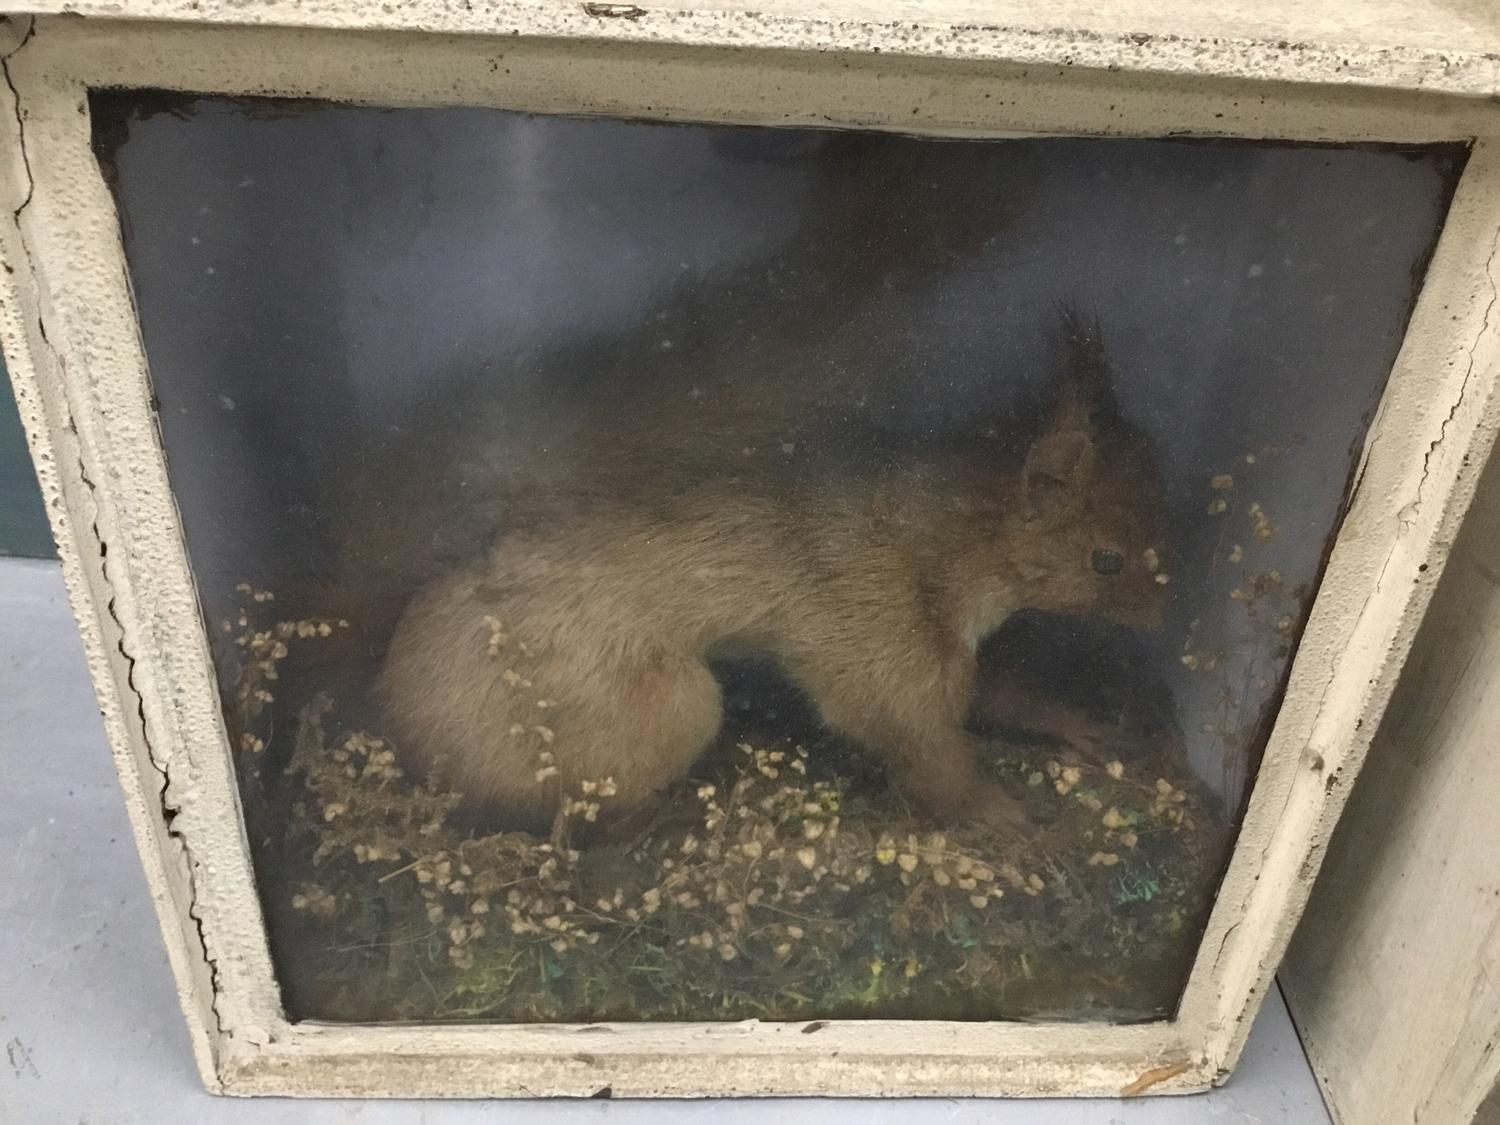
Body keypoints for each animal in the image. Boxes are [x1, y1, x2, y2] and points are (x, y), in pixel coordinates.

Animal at [378, 318, 1170, 840]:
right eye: (1107, 559)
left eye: (1159, 508)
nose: (1166, 609)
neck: (947, 542)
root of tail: (402, 735)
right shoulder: (884, 652)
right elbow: (928, 751)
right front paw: (1000, 816)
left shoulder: (953, 656)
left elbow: (1006, 694)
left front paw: (1086, 730)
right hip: (681, 706)